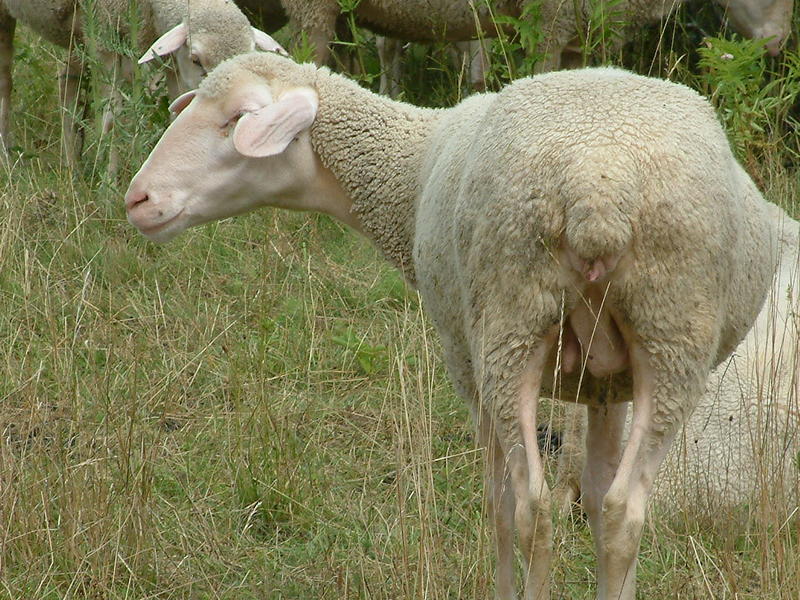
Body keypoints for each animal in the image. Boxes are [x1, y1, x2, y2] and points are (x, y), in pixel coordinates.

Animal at [0, 0, 282, 166]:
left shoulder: (169, 60)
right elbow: (110, 119)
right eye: (196, 60)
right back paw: (7, 156)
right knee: (5, 81)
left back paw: (72, 165)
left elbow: (174, 116)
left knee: (68, 83)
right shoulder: (103, 38)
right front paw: (108, 184)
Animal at [122, 52, 780, 600]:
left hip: (510, 330)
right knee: (624, 512)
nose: (138, 199)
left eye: (237, 118)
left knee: (530, 509)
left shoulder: (464, 360)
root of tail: (600, 193)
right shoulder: (603, 387)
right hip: (671, 337)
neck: (412, 169)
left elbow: (498, 504)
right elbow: (594, 499)